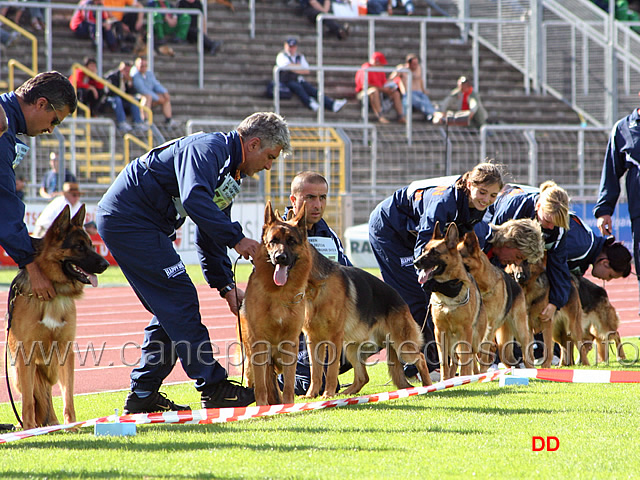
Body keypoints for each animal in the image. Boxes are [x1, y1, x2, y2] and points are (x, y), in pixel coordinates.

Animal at [6, 204, 109, 430]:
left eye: (91, 245)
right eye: (79, 247)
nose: (106, 264)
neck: (55, 292)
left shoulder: (65, 350)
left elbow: (68, 394)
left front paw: (72, 425)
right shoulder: (25, 354)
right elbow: (28, 401)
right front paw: (29, 427)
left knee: (47, 396)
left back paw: (52, 423)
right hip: (17, 372)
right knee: (34, 396)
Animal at [238, 199, 312, 404]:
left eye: (291, 241)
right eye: (273, 241)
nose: (280, 258)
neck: (280, 294)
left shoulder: (290, 345)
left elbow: (288, 386)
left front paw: (288, 406)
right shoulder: (259, 345)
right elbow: (262, 388)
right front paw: (263, 407)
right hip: (251, 362)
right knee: (258, 382)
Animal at [412, 222, 488, 382]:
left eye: (434, 252)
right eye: (423, 250)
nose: (415, 262)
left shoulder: (466, 331)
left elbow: (466, 360)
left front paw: (465, 378)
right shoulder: (439, 332)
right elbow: (443, 362)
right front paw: (444, 380)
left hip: (474, 340)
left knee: (473, 357)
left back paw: (476, 375)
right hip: (451, 342)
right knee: (454, 360)